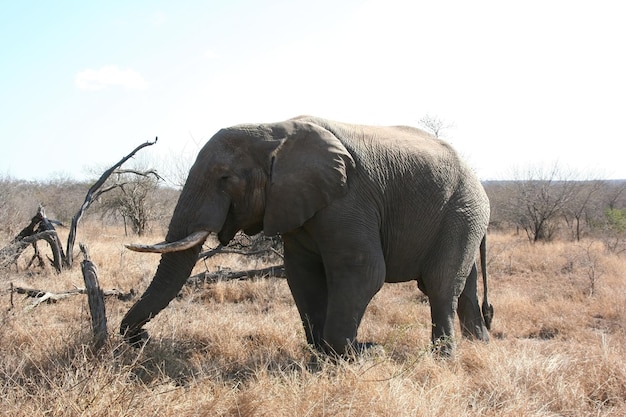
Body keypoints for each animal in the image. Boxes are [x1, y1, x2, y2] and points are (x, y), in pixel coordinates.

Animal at [120, 115, 492, 356]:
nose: (142, 339)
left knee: (440, 285)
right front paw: (324, 354)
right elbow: (302, 275)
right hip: (464, 216)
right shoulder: (296, 204)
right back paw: (481, 346)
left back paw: (444, 359)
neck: (274, 131)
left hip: (462, 210)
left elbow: (364, 271)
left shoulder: (348, 198)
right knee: (463, 287)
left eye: (225, 178)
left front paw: (360, 353)